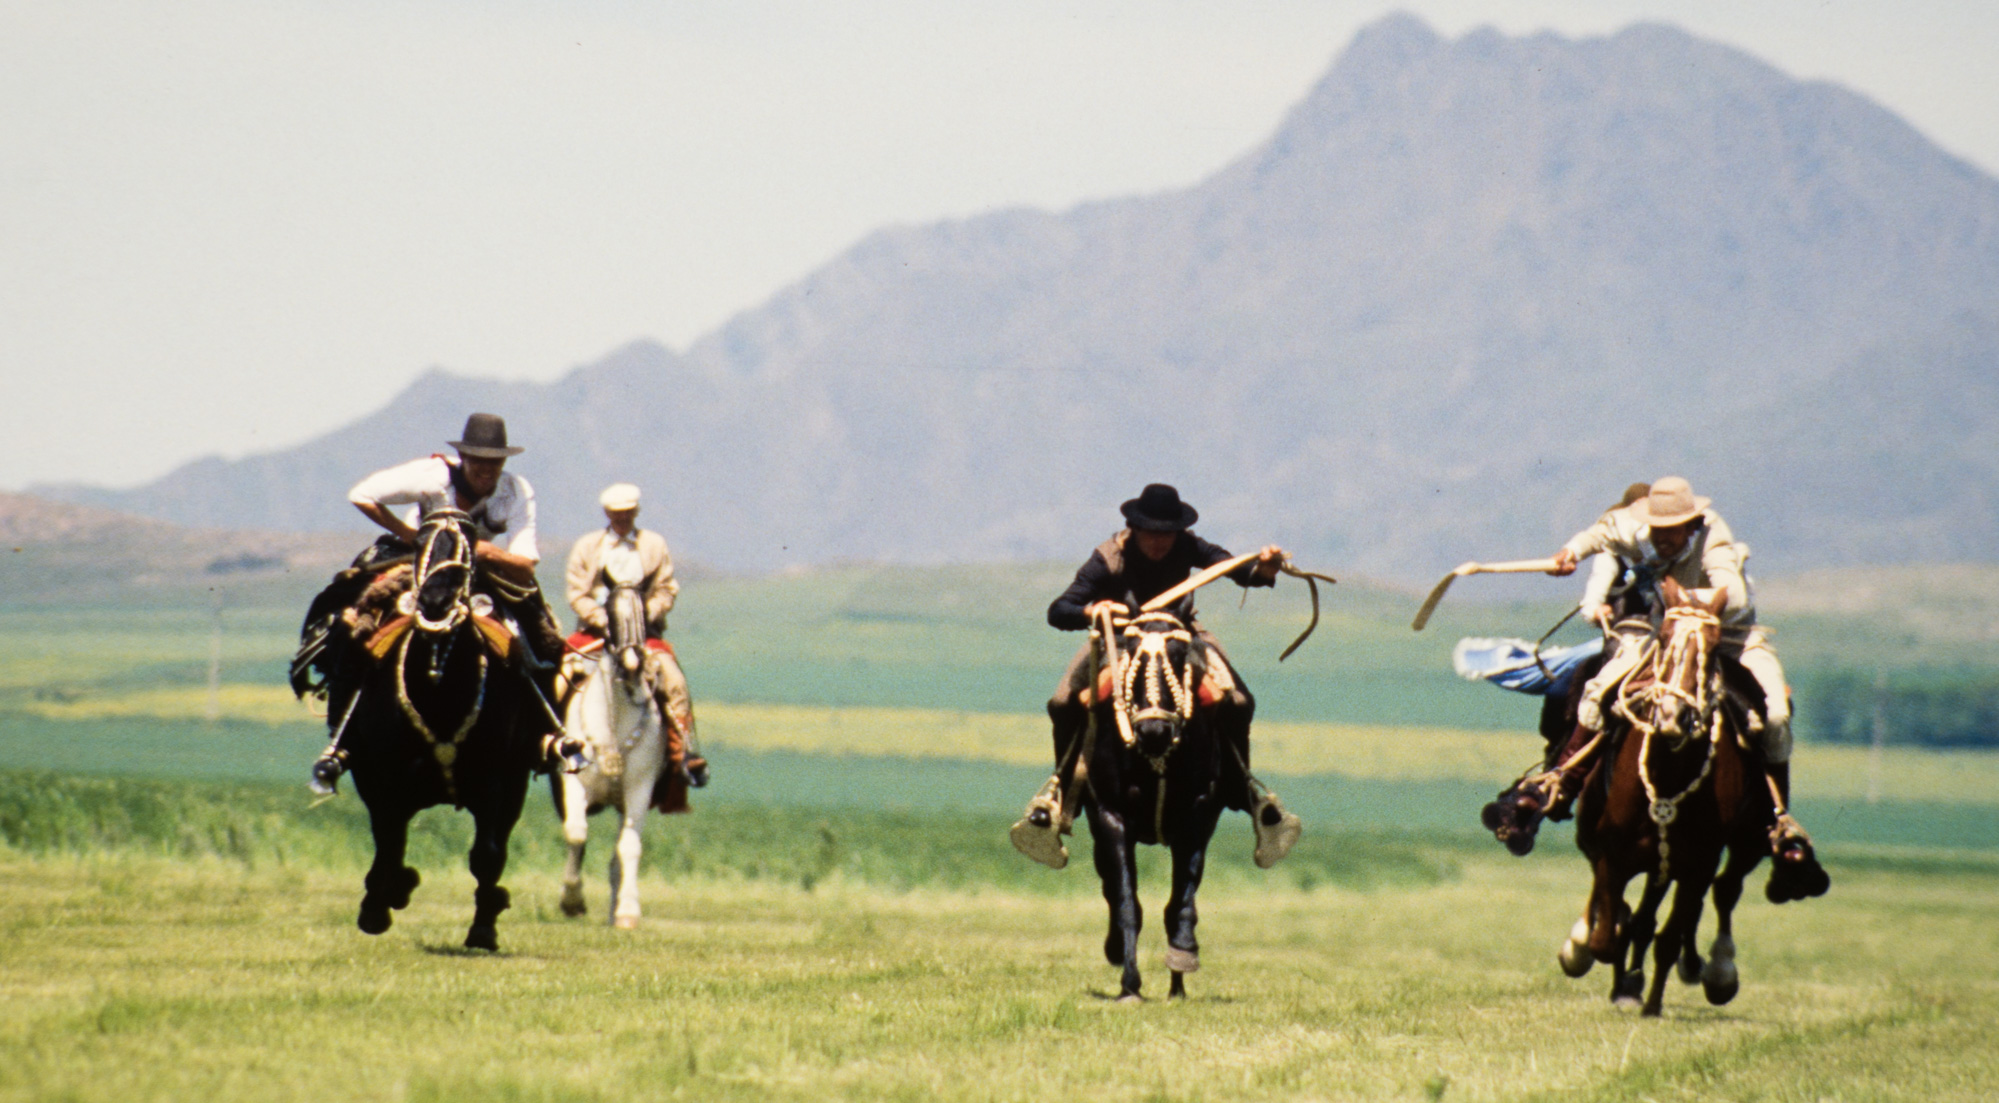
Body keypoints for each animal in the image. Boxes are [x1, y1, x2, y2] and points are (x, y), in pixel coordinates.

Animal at [295, 507, 547, 947]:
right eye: (421, 544)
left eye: (469, 546)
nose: (436, 600)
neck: (439, 691)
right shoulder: (379, 776)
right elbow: (389, 842)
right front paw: (380, 903)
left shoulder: (501, 781)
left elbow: (486, 854)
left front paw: (484, 926)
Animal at [551, 583, 675, 927]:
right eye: (609, 613)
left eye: (643, 609)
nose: (632, 664)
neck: (614, 720)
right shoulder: (574, 783)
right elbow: (576, 833)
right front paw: (572, 900)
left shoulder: (639, 790)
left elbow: (629, 848)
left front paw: (628, 912)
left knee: (618, 858)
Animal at [1063, 599, 1231, 1003]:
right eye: (1130, 648)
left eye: (1180, 652)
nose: (1154, 730)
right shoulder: (1110, 816)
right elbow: (1127, 901)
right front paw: (1130, 985)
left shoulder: (1198, 815)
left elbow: (1181, 900)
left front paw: (1181, 963)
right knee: (1110, 888)